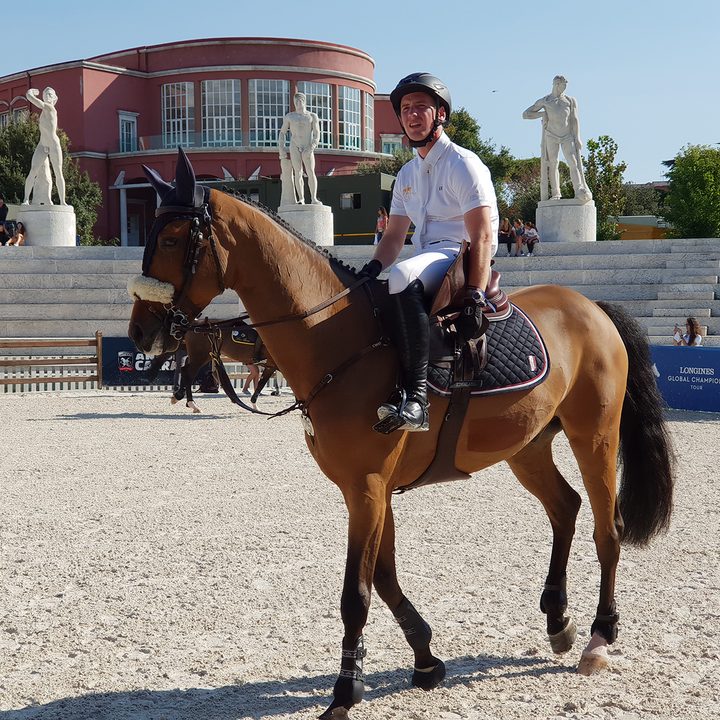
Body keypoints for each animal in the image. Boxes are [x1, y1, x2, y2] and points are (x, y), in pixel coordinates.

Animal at [128, 149, 674, 719]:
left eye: (172, 240)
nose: (141, 332)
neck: (338, 338)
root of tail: (590, 306)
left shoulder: (367, 486)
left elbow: (356, 593)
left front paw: (346, 691)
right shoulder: (370, 489)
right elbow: (385, 578)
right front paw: (426, 659)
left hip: (594, 438)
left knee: (606, 528)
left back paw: (599, 637)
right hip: (526, 446)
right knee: (565, 508)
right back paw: (558, 619)